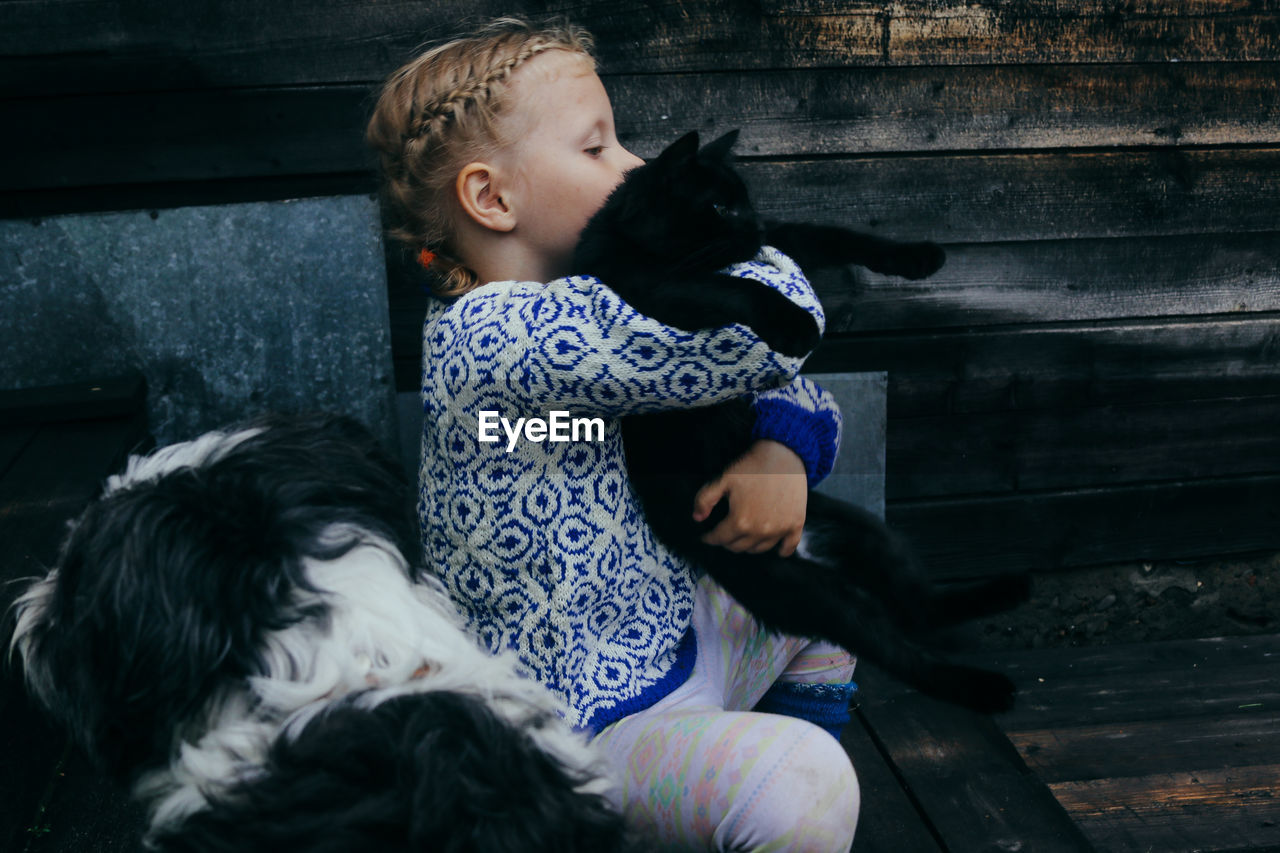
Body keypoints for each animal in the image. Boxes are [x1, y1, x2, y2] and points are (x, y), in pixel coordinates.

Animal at [576, 131, 1024, 712]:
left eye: (745, 200)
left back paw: (1004, 592)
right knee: (889, 640)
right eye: (720, 206)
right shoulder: (646, 289)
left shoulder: (778, 243)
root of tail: (805, 546)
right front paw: (797, 325)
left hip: (863, 530)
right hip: (802, 590)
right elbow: (732, 288)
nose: (755, 224)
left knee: (917, 605)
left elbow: (827, 235)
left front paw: (918, 256)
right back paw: (980, 687)